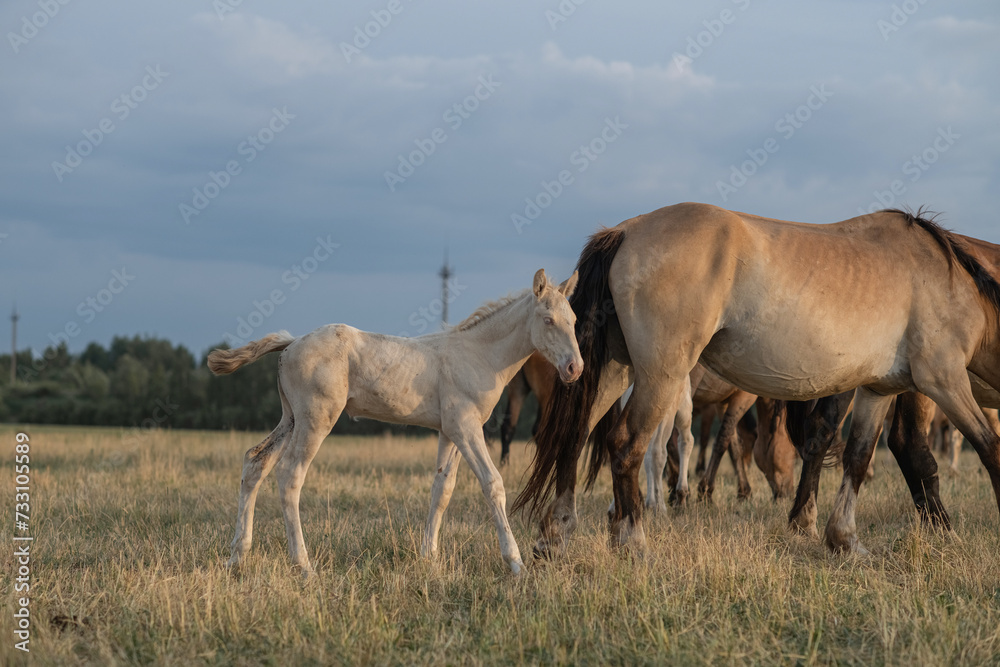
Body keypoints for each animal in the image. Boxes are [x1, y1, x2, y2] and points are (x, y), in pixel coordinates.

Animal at [209, 268, 584, 576]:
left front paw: (429, 558)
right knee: (289, 476)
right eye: (548, 319)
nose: (574, 368)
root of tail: (291, 343)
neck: (479, 354)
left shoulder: (449, 432)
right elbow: (493, 484)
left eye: (574, 319)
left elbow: (442, 489)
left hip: (291, 418)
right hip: (315, 419)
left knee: (255, 463)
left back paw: (236, 557)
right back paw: (304, 566)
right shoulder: (466, 428)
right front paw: (516, 563)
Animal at [516, 204, 1000, 560]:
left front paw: (844, 540)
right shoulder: (942, 379)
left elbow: (859, 458)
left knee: (575, 438)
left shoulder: (880, 389)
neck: (946, 278)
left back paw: (554, 536)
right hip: (661, 376)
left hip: (617, 373)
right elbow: (989, 449)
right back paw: (632, 542)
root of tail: (625, 231)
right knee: (626, 445)